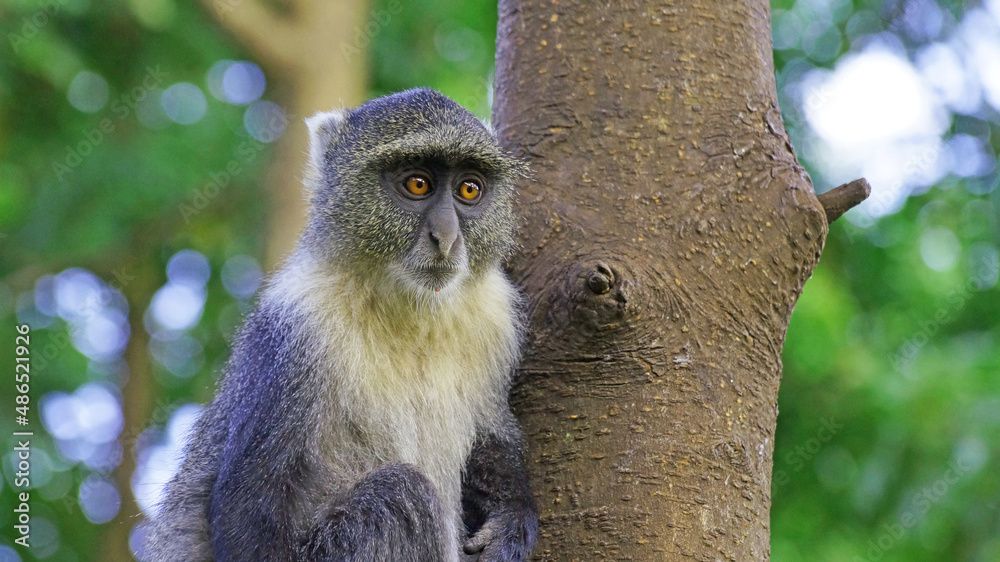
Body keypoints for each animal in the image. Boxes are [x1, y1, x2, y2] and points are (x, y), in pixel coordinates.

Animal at [143, 88, 538, 562]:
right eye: (417, 184)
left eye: (469, 189)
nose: (445, 237)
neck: (410, 312)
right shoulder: (295, 330)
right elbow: (247, 516)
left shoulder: (497, 316)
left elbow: (493, 436)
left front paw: (511, 516)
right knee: (403, 493)